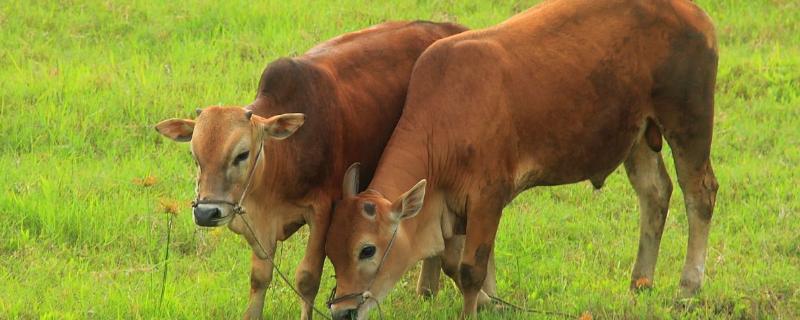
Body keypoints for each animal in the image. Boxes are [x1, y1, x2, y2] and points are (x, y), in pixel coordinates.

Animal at [154, 20, 466, 320]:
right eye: (195, 156)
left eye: (242, 154)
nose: (206, 213)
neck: (284, 156)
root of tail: (453, 28)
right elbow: (259, 277)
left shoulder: (322, 210)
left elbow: (307, 278)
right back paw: (427, 291)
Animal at [324, 0, 720, 318]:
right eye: (330, 251)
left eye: (367, 250)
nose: (342, 311)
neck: (445, 118)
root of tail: (693, 13)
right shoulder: (451, 206)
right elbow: (453, 264)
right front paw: (491, 302)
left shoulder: (488, 196)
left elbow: (470, 270)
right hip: (637, 134)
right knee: (655, 193)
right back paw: (640, 281)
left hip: (689, 122)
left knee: (699, 194)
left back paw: (687, 288)